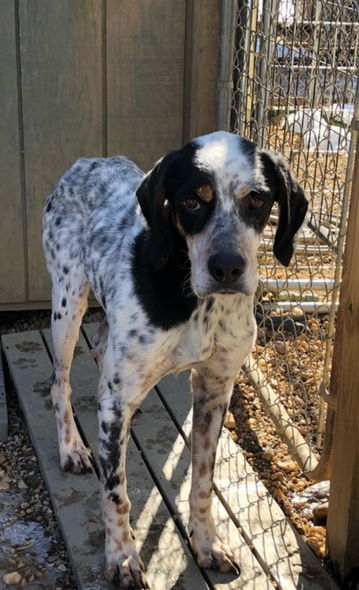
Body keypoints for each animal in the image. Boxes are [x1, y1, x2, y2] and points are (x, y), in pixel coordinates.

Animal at [41, 132, 306, 588]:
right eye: (192, 201)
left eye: (257, 198)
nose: (227, 268)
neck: (201, 307)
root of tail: (87, 161)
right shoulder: (117, 397)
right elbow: (116, 493)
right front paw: (122, 557)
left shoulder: (215, 391)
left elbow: (202, 484)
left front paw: (208, 544)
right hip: (67, 305)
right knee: (62, 384)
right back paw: (71, 448)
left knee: (100, 345)